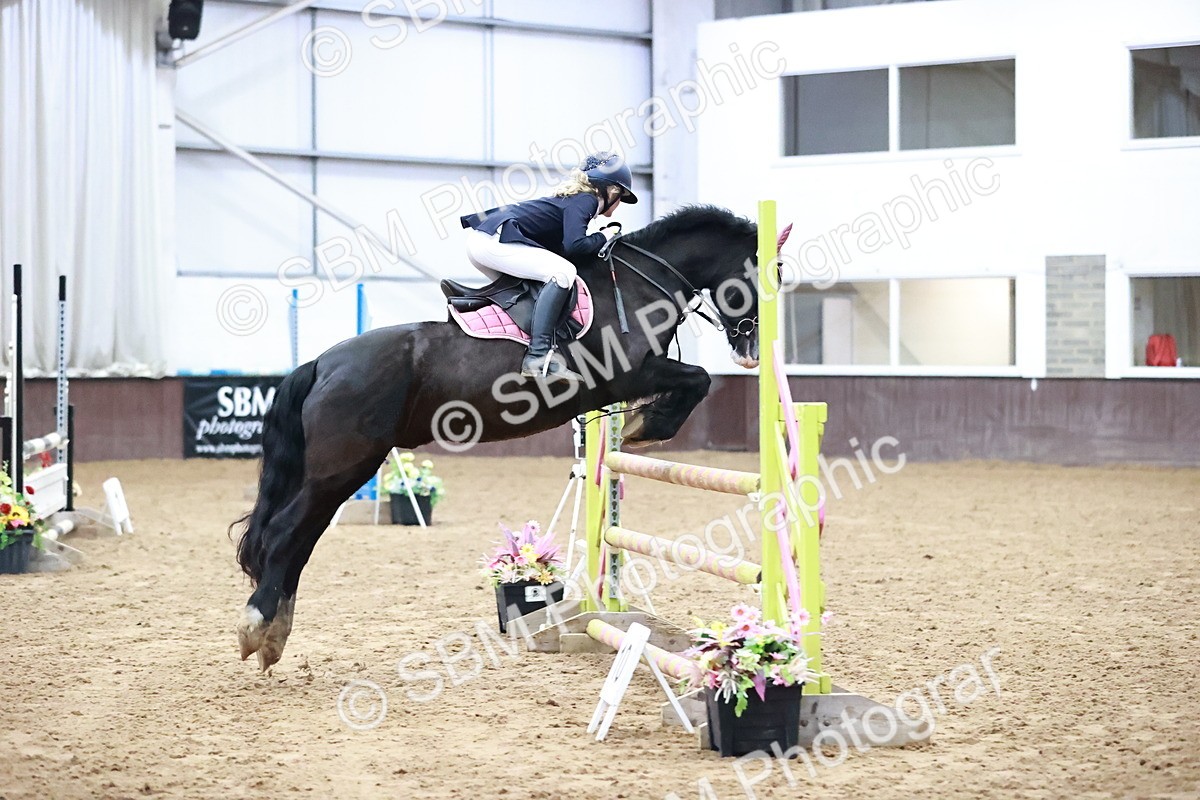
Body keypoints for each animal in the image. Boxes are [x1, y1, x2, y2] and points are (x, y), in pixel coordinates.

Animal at [233, 205, 775, 670]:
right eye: (759, 275)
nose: (751, 354)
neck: (637, 285)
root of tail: (323, 362)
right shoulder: (629, 376)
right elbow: (697, 379)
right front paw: (649, 427)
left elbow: (693, 382)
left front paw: (645, 425)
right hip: (344, 466)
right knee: (286, 533)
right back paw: (258, 627)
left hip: (340, 470)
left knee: (302, 537)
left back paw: (275, 634)